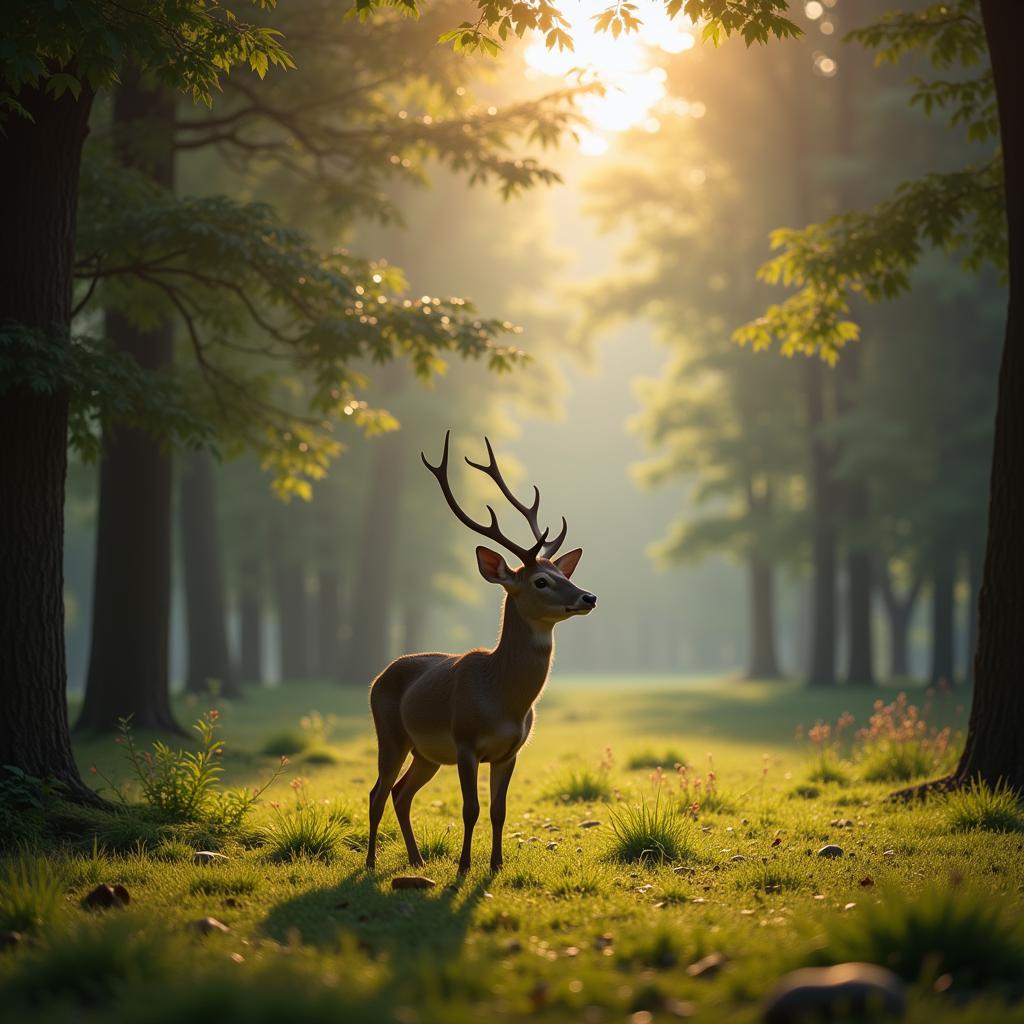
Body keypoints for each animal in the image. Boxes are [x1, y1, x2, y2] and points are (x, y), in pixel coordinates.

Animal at [366, 432, 593, 872]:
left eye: (562, 573)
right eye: (540, 581)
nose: (588, 596)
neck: (504, 700)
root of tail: (379, 676)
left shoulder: (510, 752)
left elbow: (498, 811)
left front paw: (496, 865)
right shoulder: (465, 741)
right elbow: (469, 809)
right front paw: (464, 866)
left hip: (426, 754)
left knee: (402, 793)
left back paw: (417, 861)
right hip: (390, 733)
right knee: (378, 792)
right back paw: (369, 863)